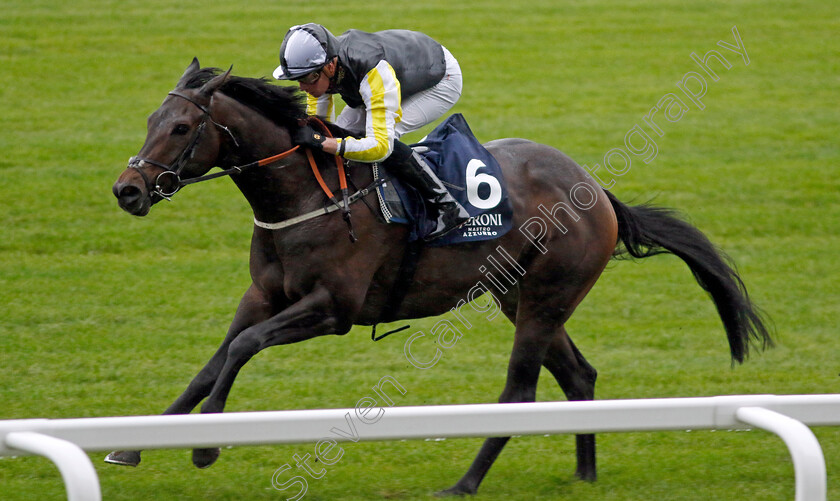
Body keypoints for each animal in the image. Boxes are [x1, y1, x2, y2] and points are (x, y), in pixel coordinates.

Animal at [108, 59, 772, 496]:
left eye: (180, 128)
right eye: (151, 118)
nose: (127, 190)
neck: (305, 195)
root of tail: (596, 189)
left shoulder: (332, 309)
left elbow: (242, 348)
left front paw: (205, 445)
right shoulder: (262, 295)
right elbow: (216, 360)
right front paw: (131, 445)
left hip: (545, 298)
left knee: (520, 390)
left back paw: (466, 482)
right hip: (520, 296)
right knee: (579, 375)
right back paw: (584, 474)